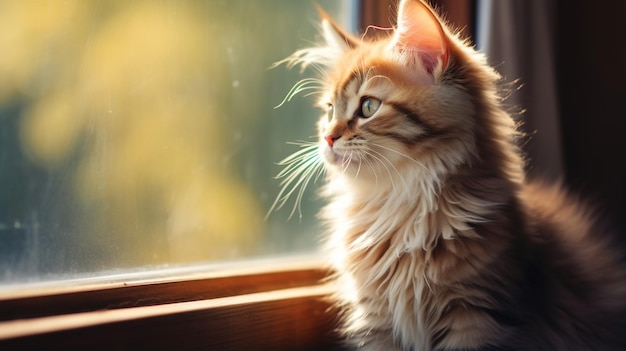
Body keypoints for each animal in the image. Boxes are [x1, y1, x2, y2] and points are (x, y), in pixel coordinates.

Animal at [270, 0, 624, 350]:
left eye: (368, 107)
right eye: (330, 111)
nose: (328, 137)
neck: (397, 208)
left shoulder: (475, 315)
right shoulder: (377, 320)